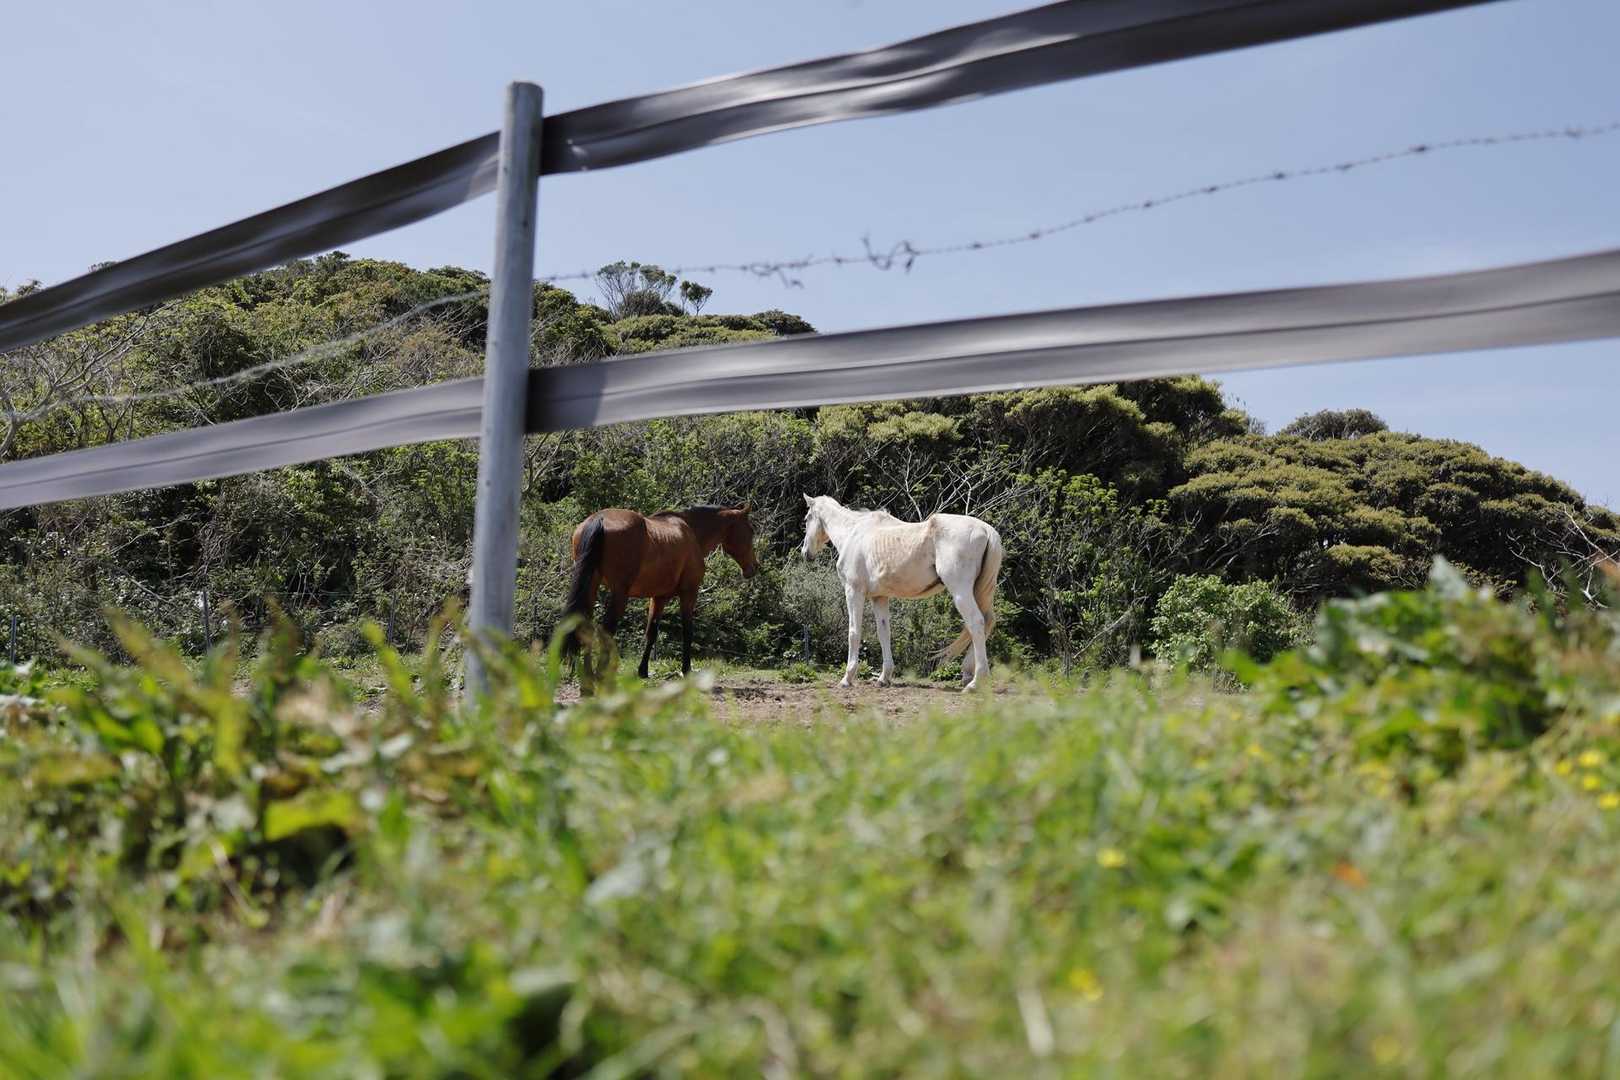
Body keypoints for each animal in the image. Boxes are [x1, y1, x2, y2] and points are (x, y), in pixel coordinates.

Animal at [562, 504, 759, 683]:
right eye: (750, 531)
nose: (754, 567)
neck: (691, 531)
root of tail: (599, 519)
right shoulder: (689, 593)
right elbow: (688, 631)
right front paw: (686, 669)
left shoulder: (659, 597)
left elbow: (651, 633)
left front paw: (643, 670)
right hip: (619, 593)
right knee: (606, 629)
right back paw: (600, 673)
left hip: (591, 585)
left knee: (583, 626)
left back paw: (584, 672)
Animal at [799, 494, 1002, 691]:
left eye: (807, 518)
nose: (805, 553)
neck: (853, 532)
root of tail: (986, 530)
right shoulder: (879, 598)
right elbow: (884, 633)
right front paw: (884, 678)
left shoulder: (854, 592)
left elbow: (854, 632)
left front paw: (847, 678)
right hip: (978, 591)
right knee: (986, 622)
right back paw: (969, 674)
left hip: (961, 592)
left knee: (976, 623)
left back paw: (975, 682)